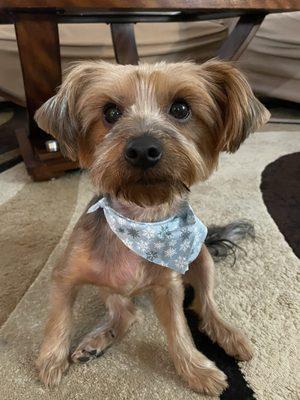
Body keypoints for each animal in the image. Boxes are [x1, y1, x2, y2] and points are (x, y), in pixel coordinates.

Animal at [33, 59, 270, 394]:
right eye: (110, 112)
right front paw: (51, 360)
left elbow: (180, 330)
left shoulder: (168, 287)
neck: (140, 218)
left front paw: (196, 370)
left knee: (204, 305)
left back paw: (229, 334)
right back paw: (98, 340)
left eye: (181, 108)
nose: (143, 149)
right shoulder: (65, 276)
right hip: (108, 285)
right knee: (128, 314)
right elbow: (58, 319)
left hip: (201, 259)